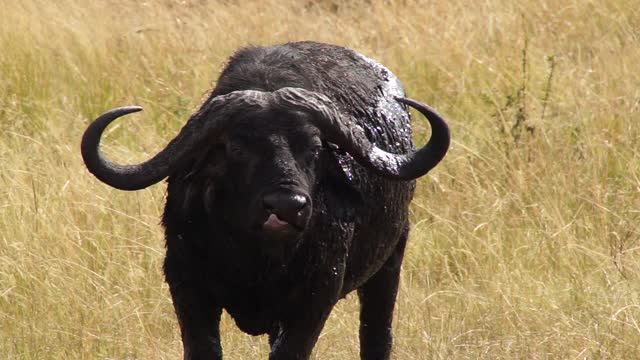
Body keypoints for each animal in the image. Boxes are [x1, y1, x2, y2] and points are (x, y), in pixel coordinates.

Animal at [81, 40, 450, 358]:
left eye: (315, 147)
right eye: (237, 148)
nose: (287, 206)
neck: (258, 259)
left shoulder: (318, 294)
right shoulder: (186, 283)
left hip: (390, 261)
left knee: (376, 334)